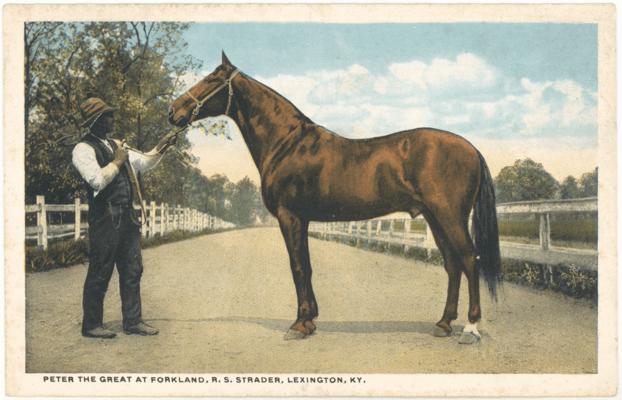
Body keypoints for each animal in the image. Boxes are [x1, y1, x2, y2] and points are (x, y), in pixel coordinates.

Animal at [169, 52, 502, 344]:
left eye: (212, 79)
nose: (174, 111)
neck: (287, 143)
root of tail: (471, 148)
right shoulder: (301, 219)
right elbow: (305, 265)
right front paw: (310, 320)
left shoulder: (290, 216)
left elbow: (297, 267)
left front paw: (299, 324)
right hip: (434, 217)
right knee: (453, 264)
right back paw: (443, 324)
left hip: (449, 215)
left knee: (469, 260)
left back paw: (470, 329)